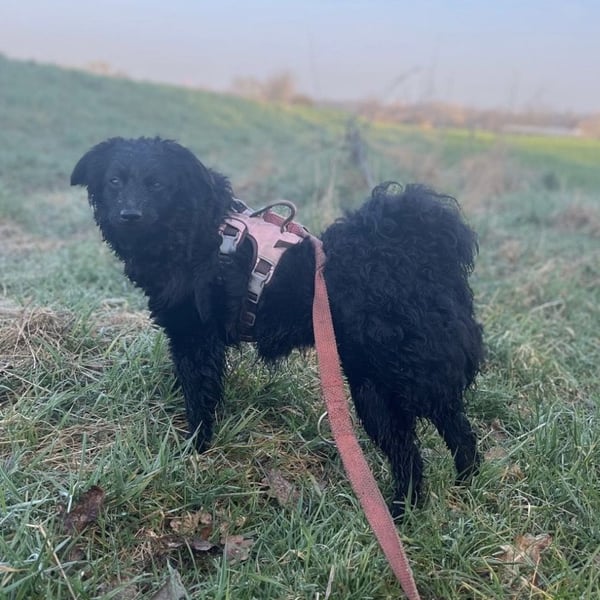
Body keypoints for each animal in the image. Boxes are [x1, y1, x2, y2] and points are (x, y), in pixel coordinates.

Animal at [71, 136, 484, 515]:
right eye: (114, 181)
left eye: (157, 184)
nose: (129, 215)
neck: (195, 233)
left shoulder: (197, 341)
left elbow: (199, 400)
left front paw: (194, 452)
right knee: (453, 436)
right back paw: (462, 488)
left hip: (390, 386)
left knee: (422, 449)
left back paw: (402, 511)